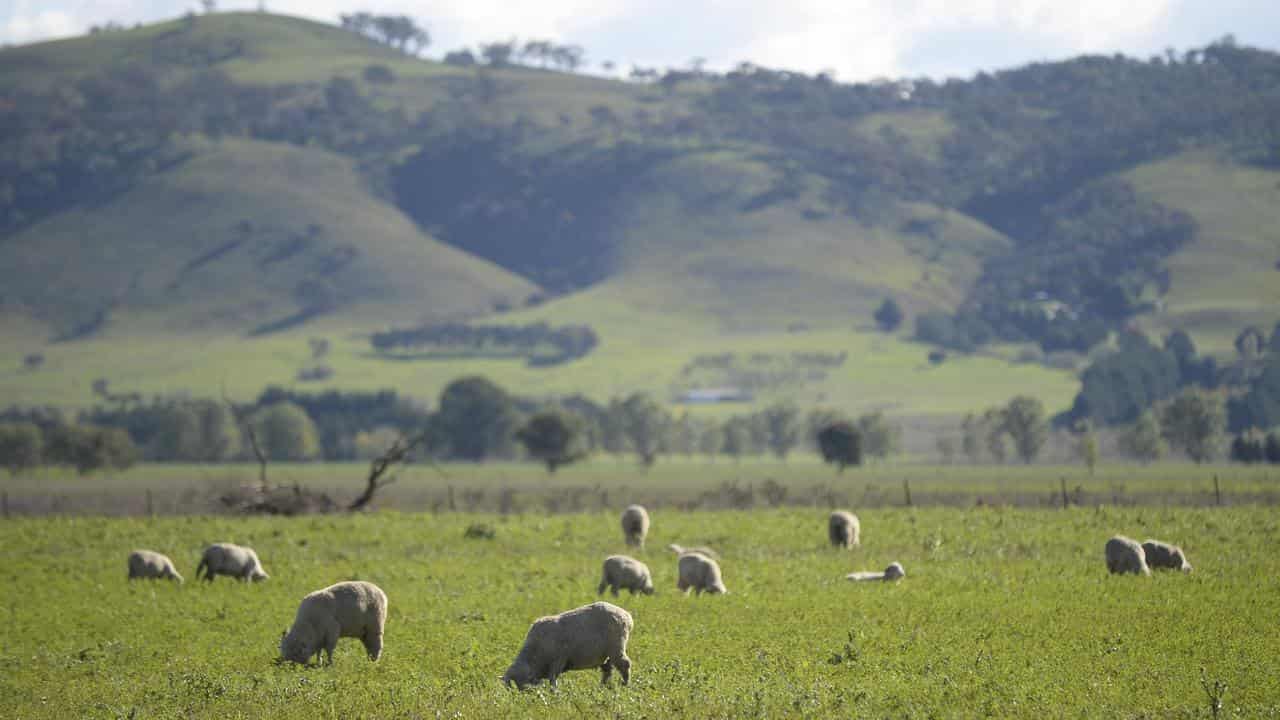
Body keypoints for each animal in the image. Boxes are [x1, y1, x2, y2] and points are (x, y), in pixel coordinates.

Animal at [504, 597, 634, 686]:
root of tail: (626, 615)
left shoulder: (558, 660)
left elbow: (553, 679)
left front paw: (554, 693)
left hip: (616, 646)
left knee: (624, 664)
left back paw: (625, 684)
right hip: (606, 654)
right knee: (608, 671)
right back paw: (602, 687)